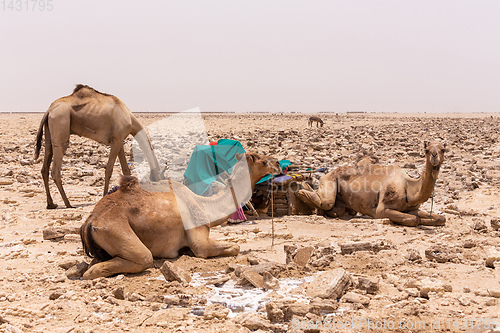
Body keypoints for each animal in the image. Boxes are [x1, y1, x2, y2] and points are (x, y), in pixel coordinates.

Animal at [80, 152, 280, 278]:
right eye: (262, 161)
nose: (278, 163)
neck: (204, 205)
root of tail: (90, 221)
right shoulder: (199, 241)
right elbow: (233, 247)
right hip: (115, 229)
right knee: (140, 258)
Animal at [296, 140, 450, 226]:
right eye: (426, 150)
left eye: (443, 149)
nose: (434, 156)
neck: (409, 186)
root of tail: (329, 171)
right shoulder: (381, 210)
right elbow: (413, 219)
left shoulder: (411, 208)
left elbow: (440, 218)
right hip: (329, 181)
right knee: (324, 202)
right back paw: (302, 191)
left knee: (339, 209)